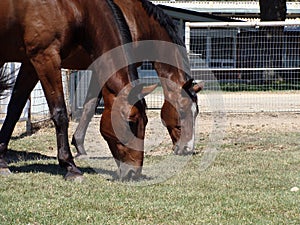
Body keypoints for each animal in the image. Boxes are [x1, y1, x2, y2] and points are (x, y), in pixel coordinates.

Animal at [0, 0, 154, 179]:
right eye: (131, 122)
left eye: (145, 121)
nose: (134, 172)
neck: (74, 7)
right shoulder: (46, 57)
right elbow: (60, 113)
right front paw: (70, 166)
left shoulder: (30, 64)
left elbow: (14, 110)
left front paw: (1, 162)